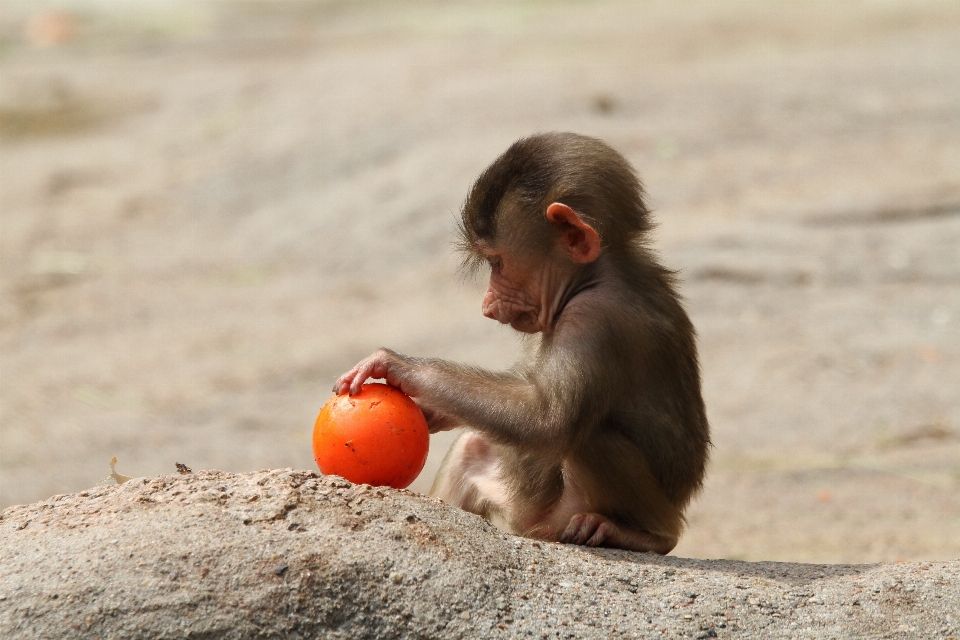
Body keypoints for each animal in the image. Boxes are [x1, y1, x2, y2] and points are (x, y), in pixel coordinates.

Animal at [334, 131, 708, 556]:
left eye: (497, 263)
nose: (486, 305)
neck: (596, 273)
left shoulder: (594, 318)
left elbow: (546, 419)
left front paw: (400, 367)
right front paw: (432, 409)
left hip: (568, 513)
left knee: (589, 437)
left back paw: (645, 534)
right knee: (474, 447)